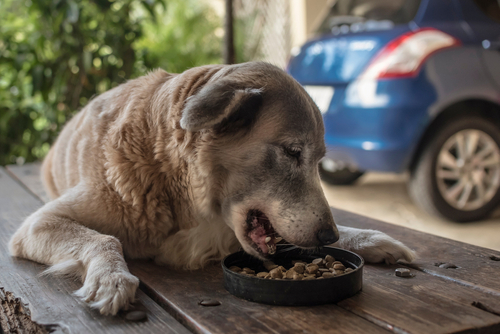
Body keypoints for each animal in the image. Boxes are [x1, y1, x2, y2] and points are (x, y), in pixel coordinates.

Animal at [8, 62, 414, 316]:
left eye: (318, 160)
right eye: (292, 151)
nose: (328, 233)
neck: (169, 177)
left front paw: (366, 237)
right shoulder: (36, 224)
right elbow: (104, 239)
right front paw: (111, 277)